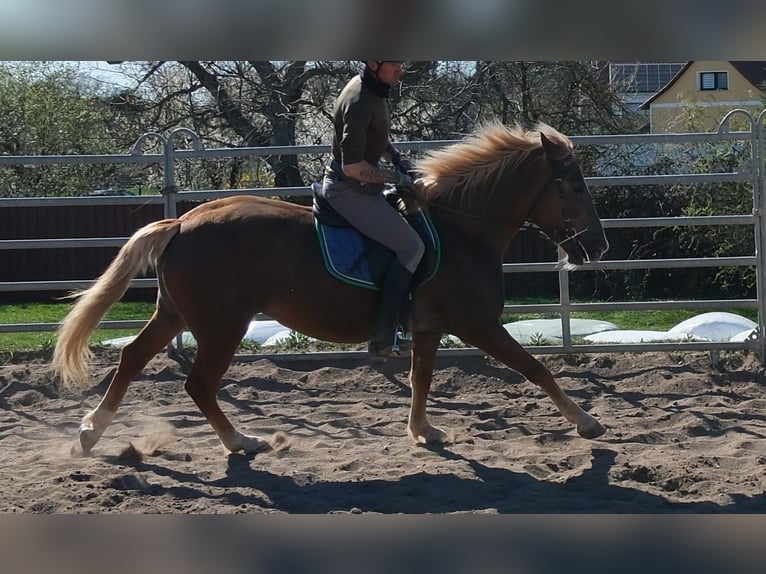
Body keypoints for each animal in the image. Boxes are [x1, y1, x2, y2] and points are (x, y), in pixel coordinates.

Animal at [52, 121, 609, 456]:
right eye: (574, 185)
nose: (599, 246)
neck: (460, 229)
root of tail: (183, 220)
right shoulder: (478, 324)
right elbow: (536, 369)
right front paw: (587, 422)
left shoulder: (429, 329)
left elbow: (422, 379)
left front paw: (422, 431)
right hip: (221, 326)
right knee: (199, 385)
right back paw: (241, 441)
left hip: (176, 316)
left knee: (132, 359)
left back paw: (91, 431)